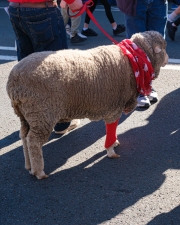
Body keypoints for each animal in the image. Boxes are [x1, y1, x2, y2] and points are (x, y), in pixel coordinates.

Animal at [6, 31, 168, 179]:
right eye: (163, 48)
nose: (167, 58)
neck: (133, 58)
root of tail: (13, 82)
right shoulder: (114, 108)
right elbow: (111, 128)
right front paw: (111, 150)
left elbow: (113, 128)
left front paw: (114, 143)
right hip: (41, 112)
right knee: (33, 141)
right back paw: (39, 171)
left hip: (27, 114)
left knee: (24, 136)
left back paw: (29, 166)